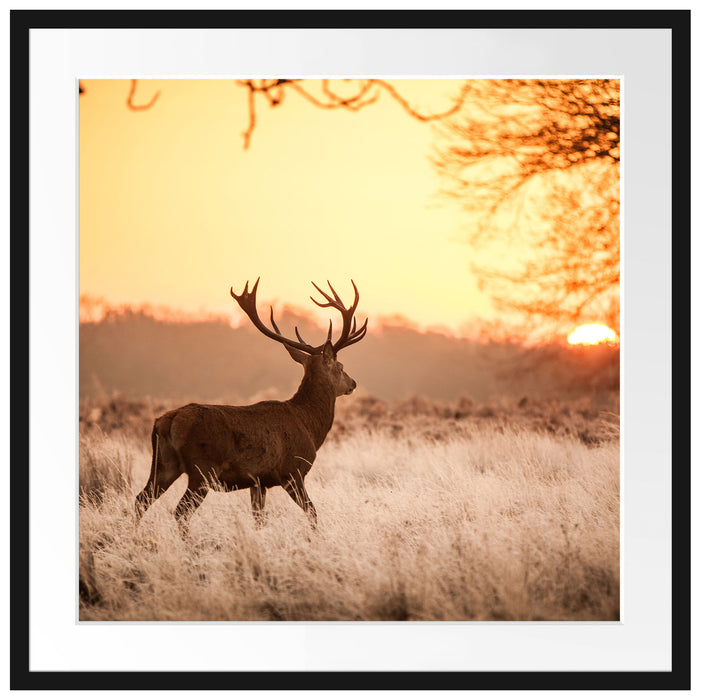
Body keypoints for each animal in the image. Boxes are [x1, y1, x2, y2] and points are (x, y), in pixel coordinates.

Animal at [134, 278, 367, 535]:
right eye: (340, 366)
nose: (353, 383)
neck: (309, 424)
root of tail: (167, 421)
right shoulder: (292, 471)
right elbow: (313, 513)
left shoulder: (258, 481)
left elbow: (259, 519)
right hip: (202, 470)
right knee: (180, 511)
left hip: (163, 464)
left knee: (141, 499)